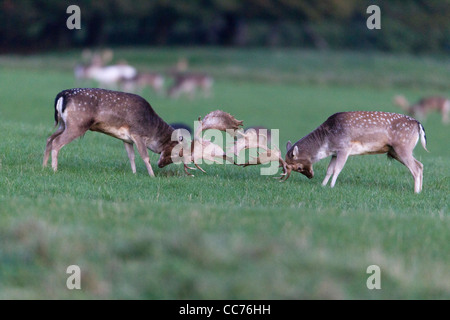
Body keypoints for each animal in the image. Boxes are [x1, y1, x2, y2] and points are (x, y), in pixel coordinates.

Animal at [278, 111, 428, 194]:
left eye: (298, 167)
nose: (310, 176)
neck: (326, 141)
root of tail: (419, 125)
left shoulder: (345, 148)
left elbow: (337, 169)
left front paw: (331, 186)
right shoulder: (335, 152)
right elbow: (329, 170)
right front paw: (323, 185)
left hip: (403, 147)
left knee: (415, 168)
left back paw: (416, 192)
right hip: (395, 151)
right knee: (420, 165)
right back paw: (420, 191)